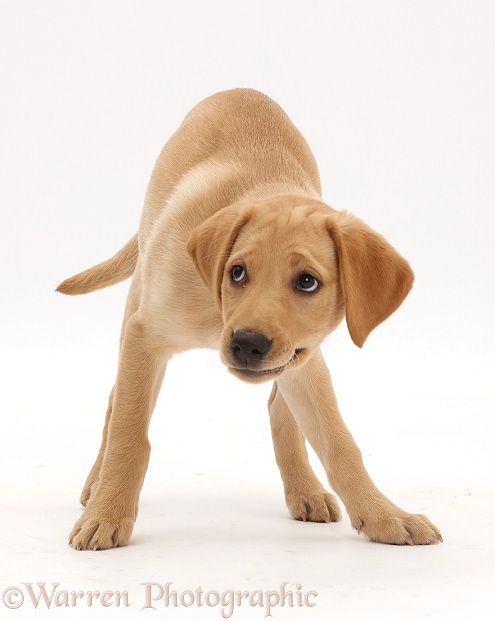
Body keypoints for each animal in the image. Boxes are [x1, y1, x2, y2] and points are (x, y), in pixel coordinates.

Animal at [57, 87, 442, 548]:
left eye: (308, 282)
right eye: (237, 272)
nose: (247, 344)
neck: (218, 310)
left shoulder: (305, 360)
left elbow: (339, 442)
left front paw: (385, 515)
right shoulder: (145, 335)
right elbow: (130, 432)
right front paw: (108, 513)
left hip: (293, 359)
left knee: (280, 408)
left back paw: (305, 490)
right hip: (138, 299)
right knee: (117, 401)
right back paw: (97, 484)